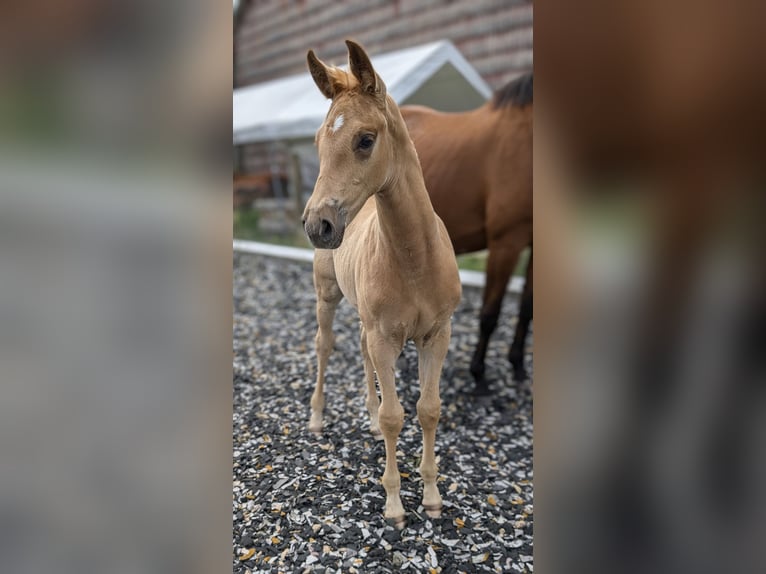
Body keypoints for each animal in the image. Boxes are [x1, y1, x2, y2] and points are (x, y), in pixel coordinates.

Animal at [304, 38, 462, 528]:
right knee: (326, 346)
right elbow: (397, 416)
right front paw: (394, 505)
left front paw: (432, 498)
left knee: (360, 351)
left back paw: (369, 422)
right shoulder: (385, 336)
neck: (415, 261)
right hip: (328, 296)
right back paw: (316, 419)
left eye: (365, 139)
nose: (317, 226)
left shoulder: (436, 335)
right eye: (317, 141)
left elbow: (428, 410)